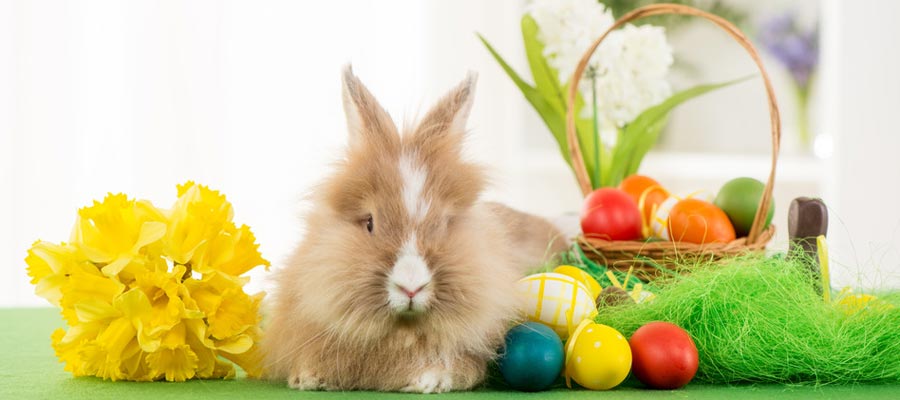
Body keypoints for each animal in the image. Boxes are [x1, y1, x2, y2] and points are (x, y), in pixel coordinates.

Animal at [262, 66, 568, 394]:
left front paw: (430, 380)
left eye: (445, 223)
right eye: (370, 222)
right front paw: (308, 378)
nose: (411, 287)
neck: (402, 330)